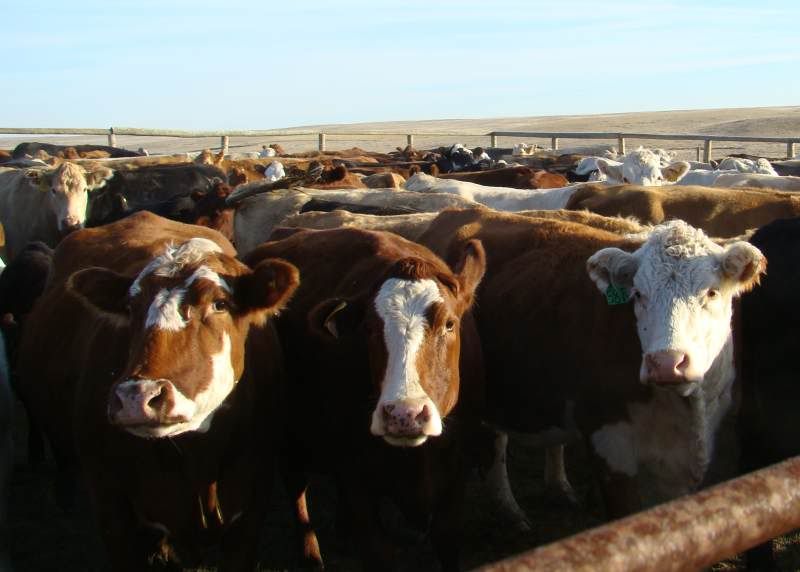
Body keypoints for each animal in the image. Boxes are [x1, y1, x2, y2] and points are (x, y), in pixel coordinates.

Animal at [16, 211, 299, 569]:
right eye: (130, 307)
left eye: (220, 303)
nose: (137, 397)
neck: (197, 460)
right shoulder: (112, 510)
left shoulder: (250, 511)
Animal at [244, 227, 486, 570]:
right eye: (369, 328)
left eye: (449, 323)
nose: (404, 415)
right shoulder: (356, 478)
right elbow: (378, 551)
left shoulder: (457, 469)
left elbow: (447, 538)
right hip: (287, 436)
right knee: (296, 488)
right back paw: (311, 557)